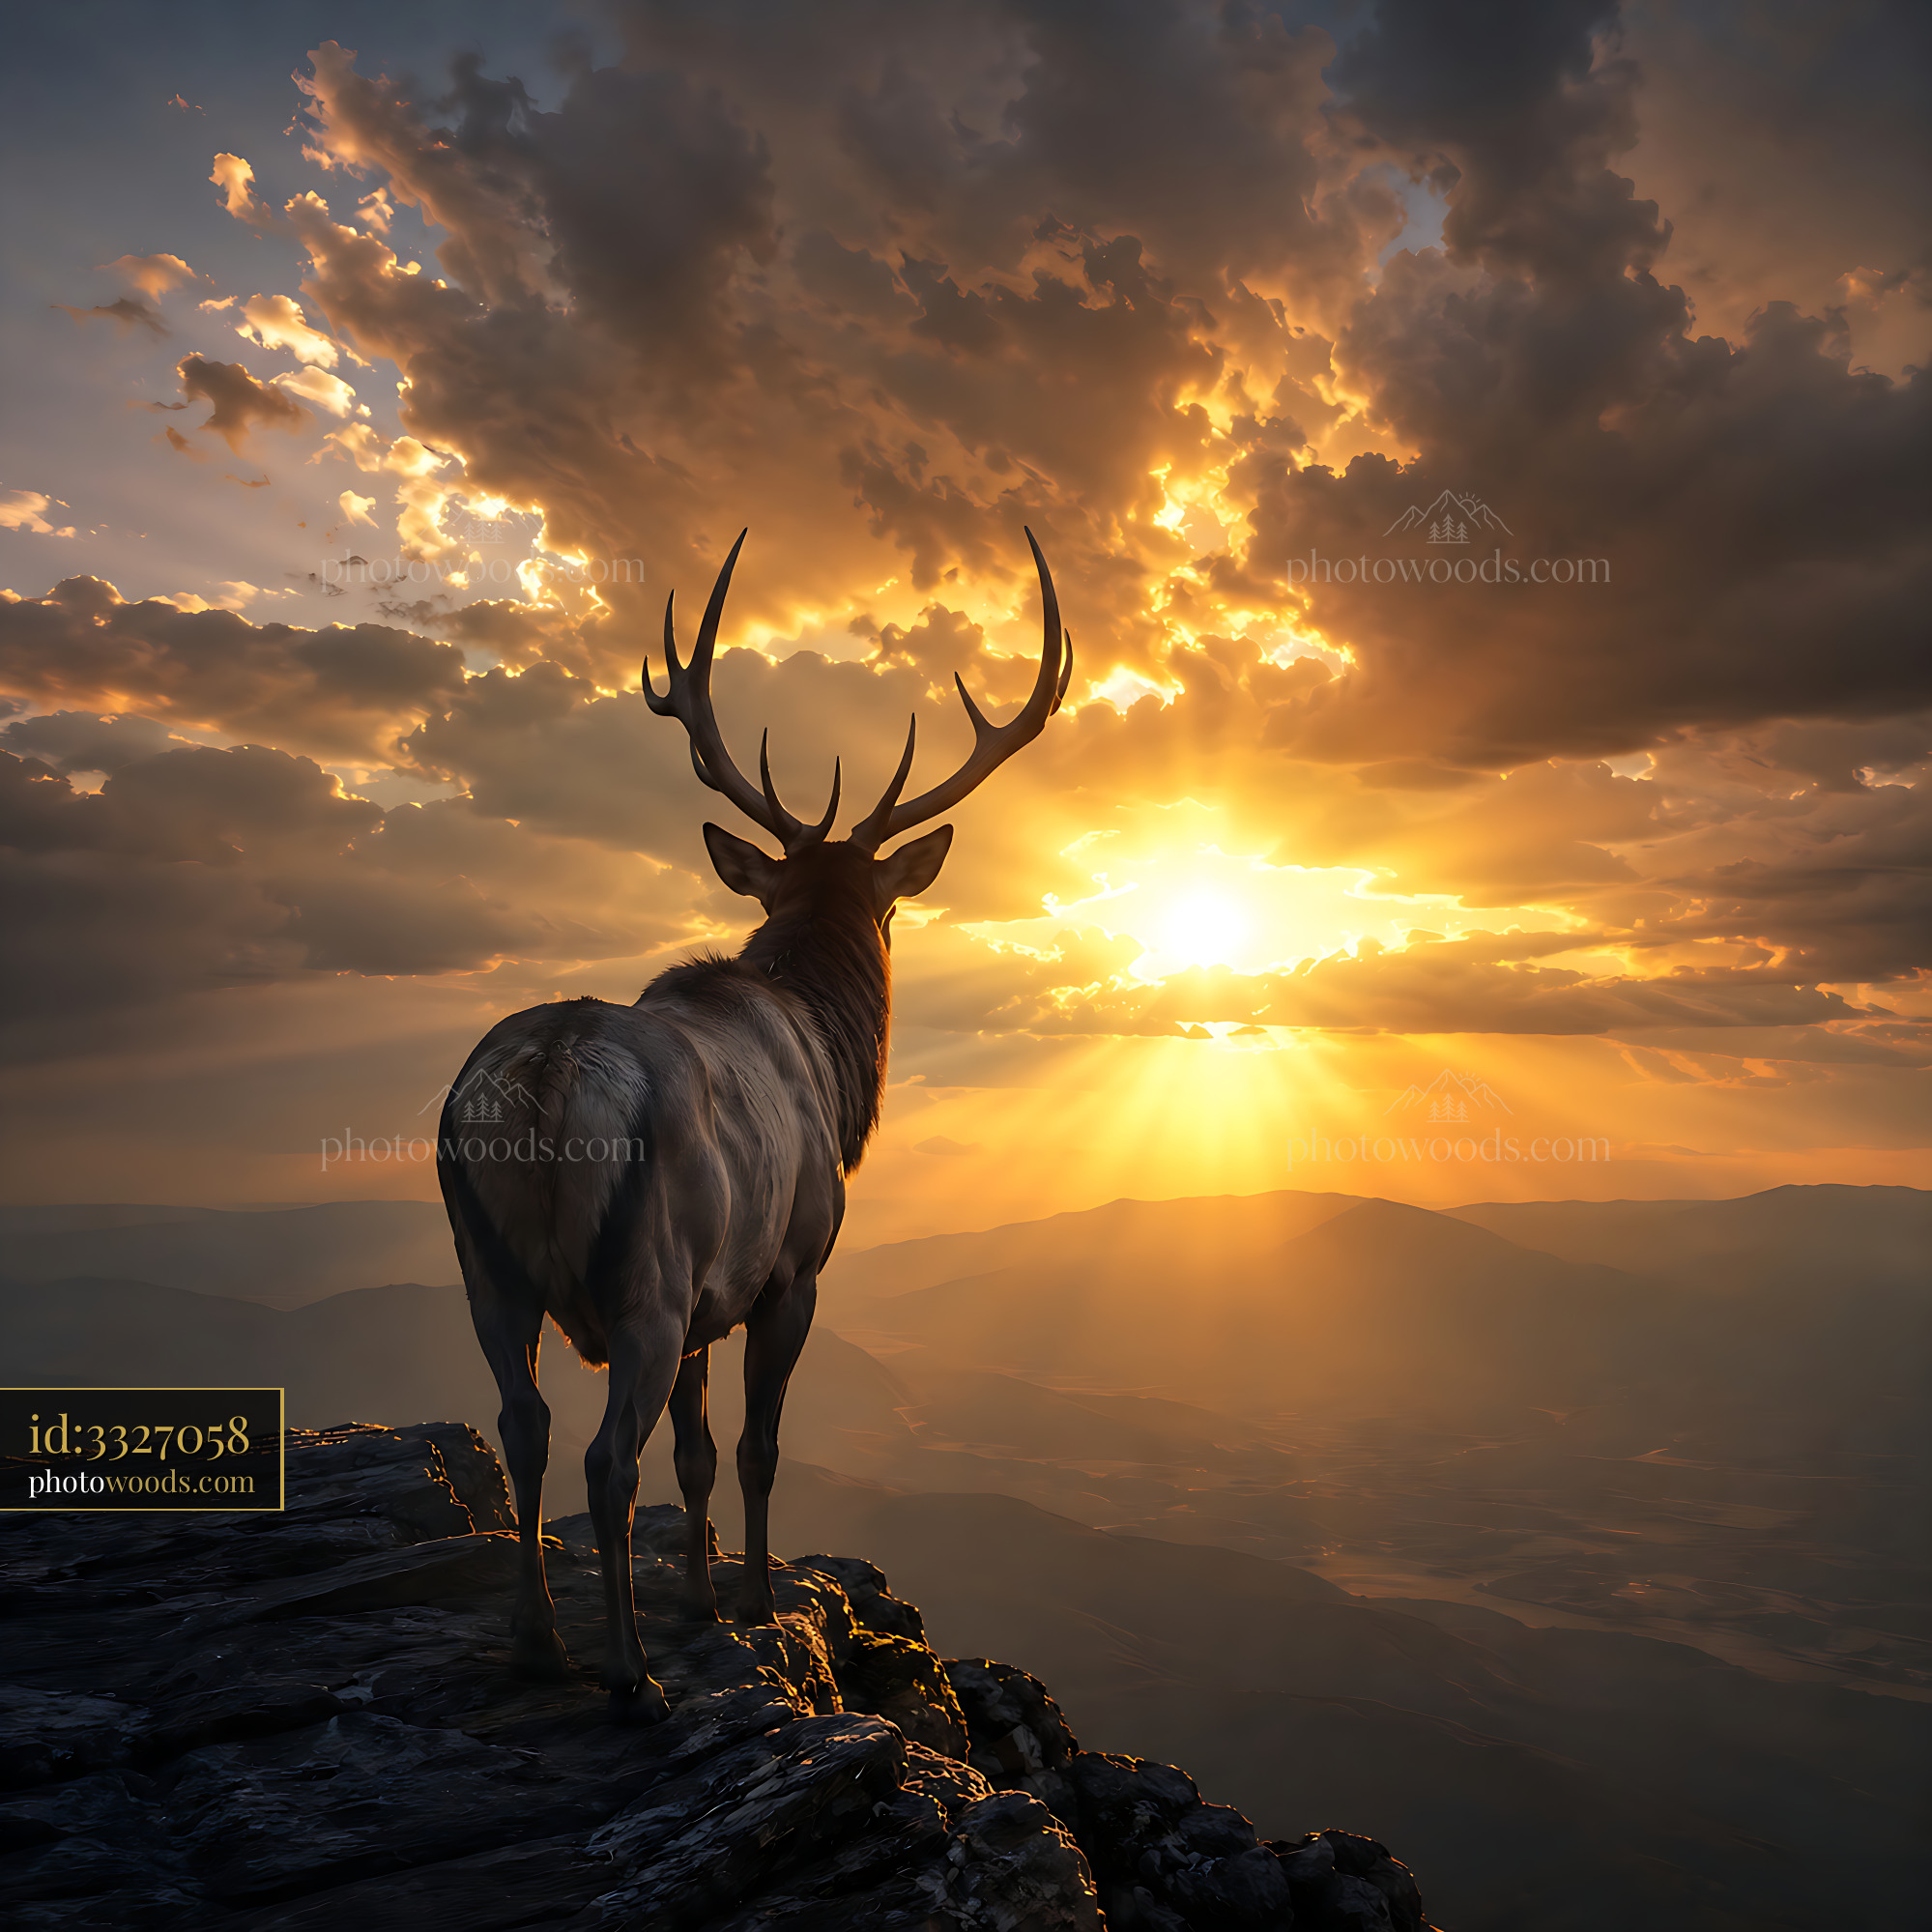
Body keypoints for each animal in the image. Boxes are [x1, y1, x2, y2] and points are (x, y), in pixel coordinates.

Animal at [436, 528, 1071, 1721]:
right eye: (890, 902)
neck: (833, 1058)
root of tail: (545, 1078)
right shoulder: (790, 1269)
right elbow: (756, 1444)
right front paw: (762, 1596)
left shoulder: (703, 1302)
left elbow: (695, 1451)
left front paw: (701, 1596)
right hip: (642, 1277)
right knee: (604, 1458)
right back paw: (629, 1673)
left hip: (484, 1263)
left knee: (524, 1426)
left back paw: (539, 1642)